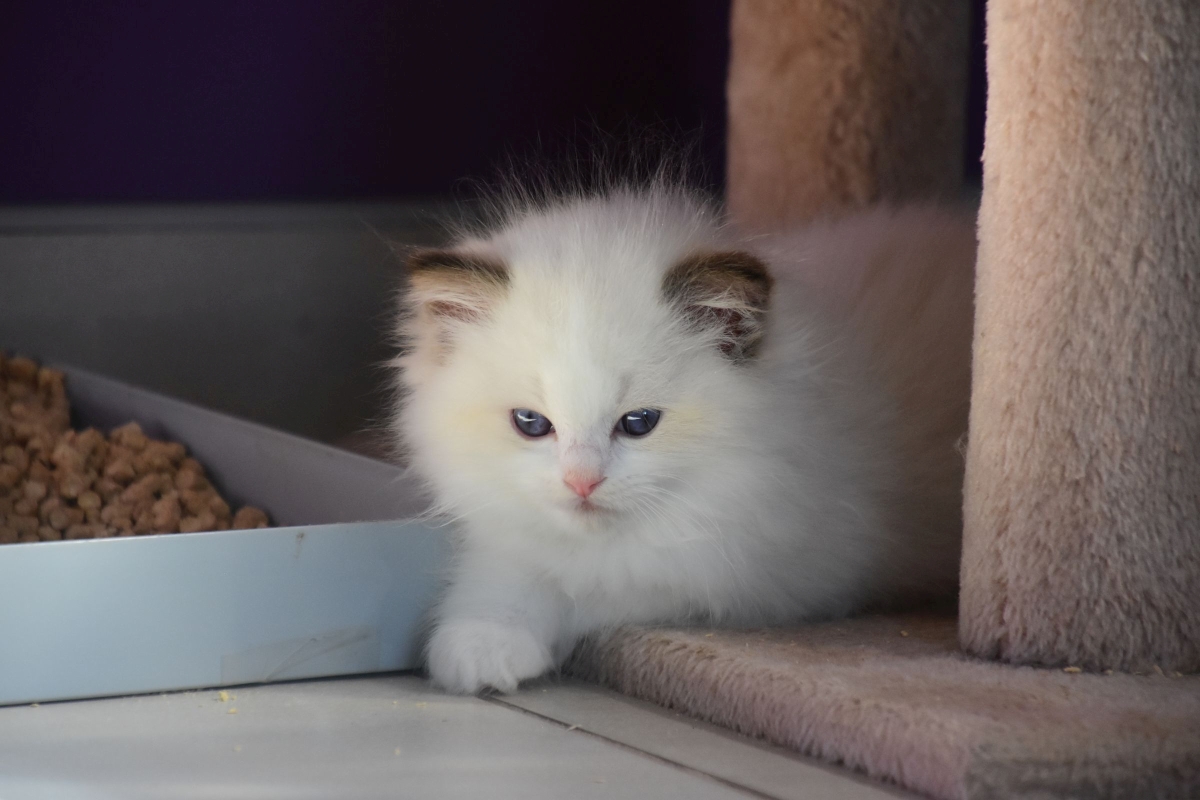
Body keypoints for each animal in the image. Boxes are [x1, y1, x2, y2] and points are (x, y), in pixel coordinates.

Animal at [393, 183, 976, 694]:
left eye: (638, 423)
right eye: (531, 424)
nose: (581, 482)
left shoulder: (753, 573)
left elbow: (590, 584)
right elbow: (508, 562)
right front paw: (481, 641)